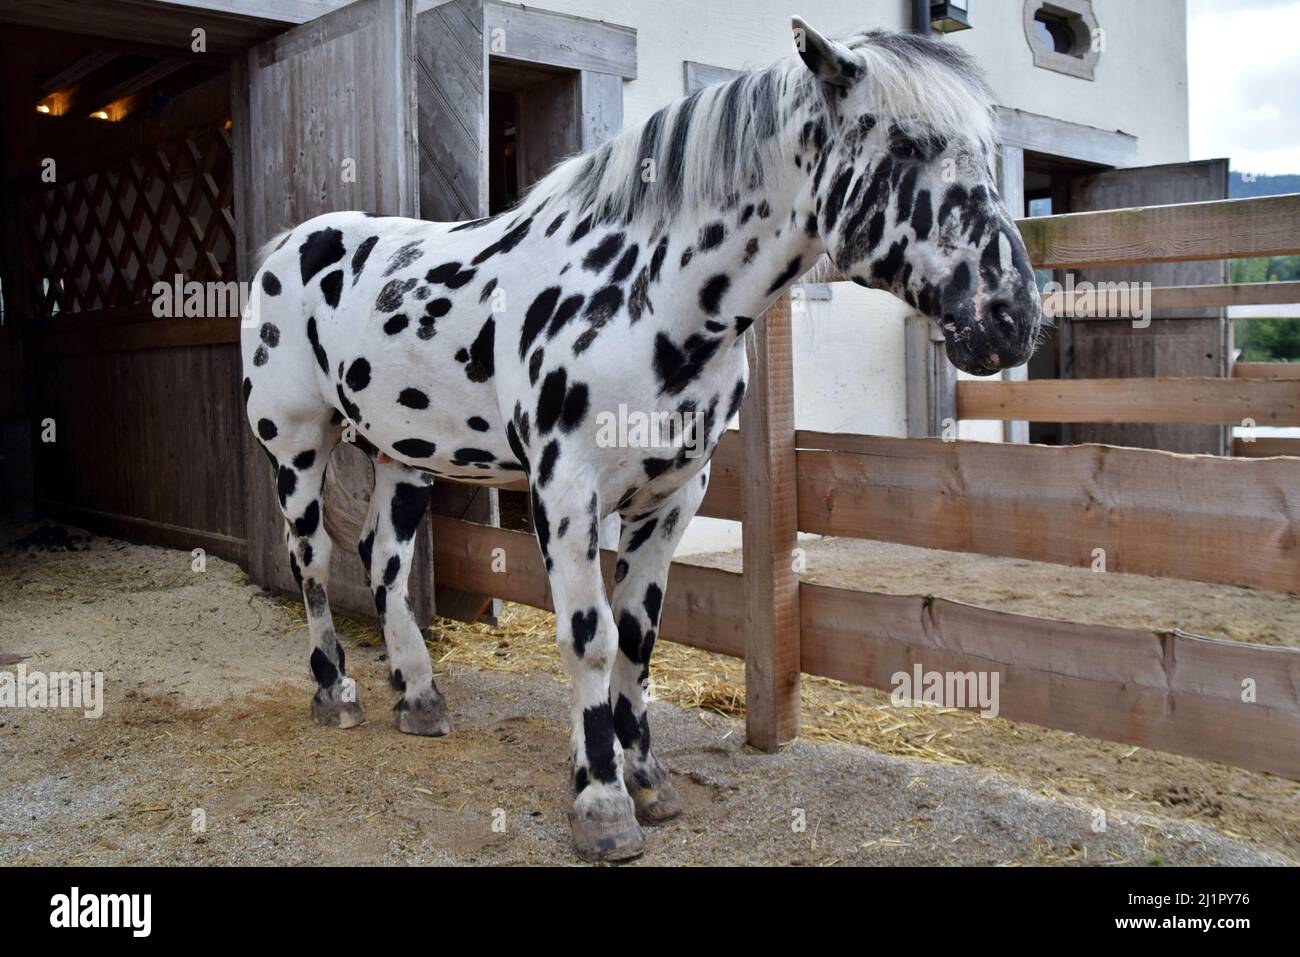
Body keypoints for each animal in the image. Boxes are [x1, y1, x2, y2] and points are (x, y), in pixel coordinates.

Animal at [239, 20, 1040, 858]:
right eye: (909, 145)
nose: (1013, 317)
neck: (645, 292)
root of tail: (286, 247)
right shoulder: (565, 494)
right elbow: (589, 638)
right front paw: (601, 801)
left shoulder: (672, 497)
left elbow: (638, 636)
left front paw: (648, 777)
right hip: (295, 449)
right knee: (312, 560)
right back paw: (336, 691)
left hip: (406, 456)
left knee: (383, 558)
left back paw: (420, 696)